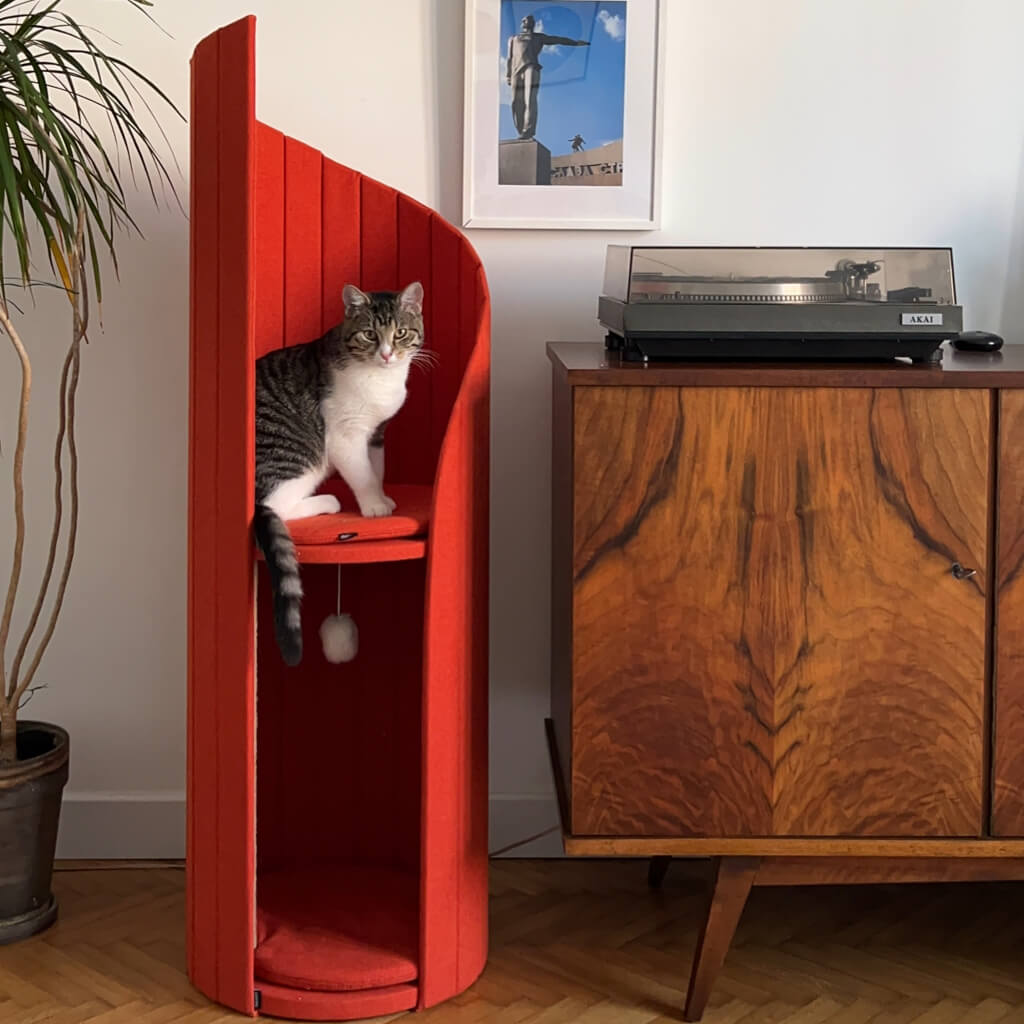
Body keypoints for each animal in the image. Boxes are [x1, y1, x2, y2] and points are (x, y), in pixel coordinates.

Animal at [253, 282, 425, 663]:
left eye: (401, 332)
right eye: (370, 334)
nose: (387, 354)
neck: (380, 378)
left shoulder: (376, 432)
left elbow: (376, 469)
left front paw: (383, 498)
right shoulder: (344, 434)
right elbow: (361, 473)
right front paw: (374, 507)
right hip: (299, 453)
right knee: (277, 504)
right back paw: (327, 502)